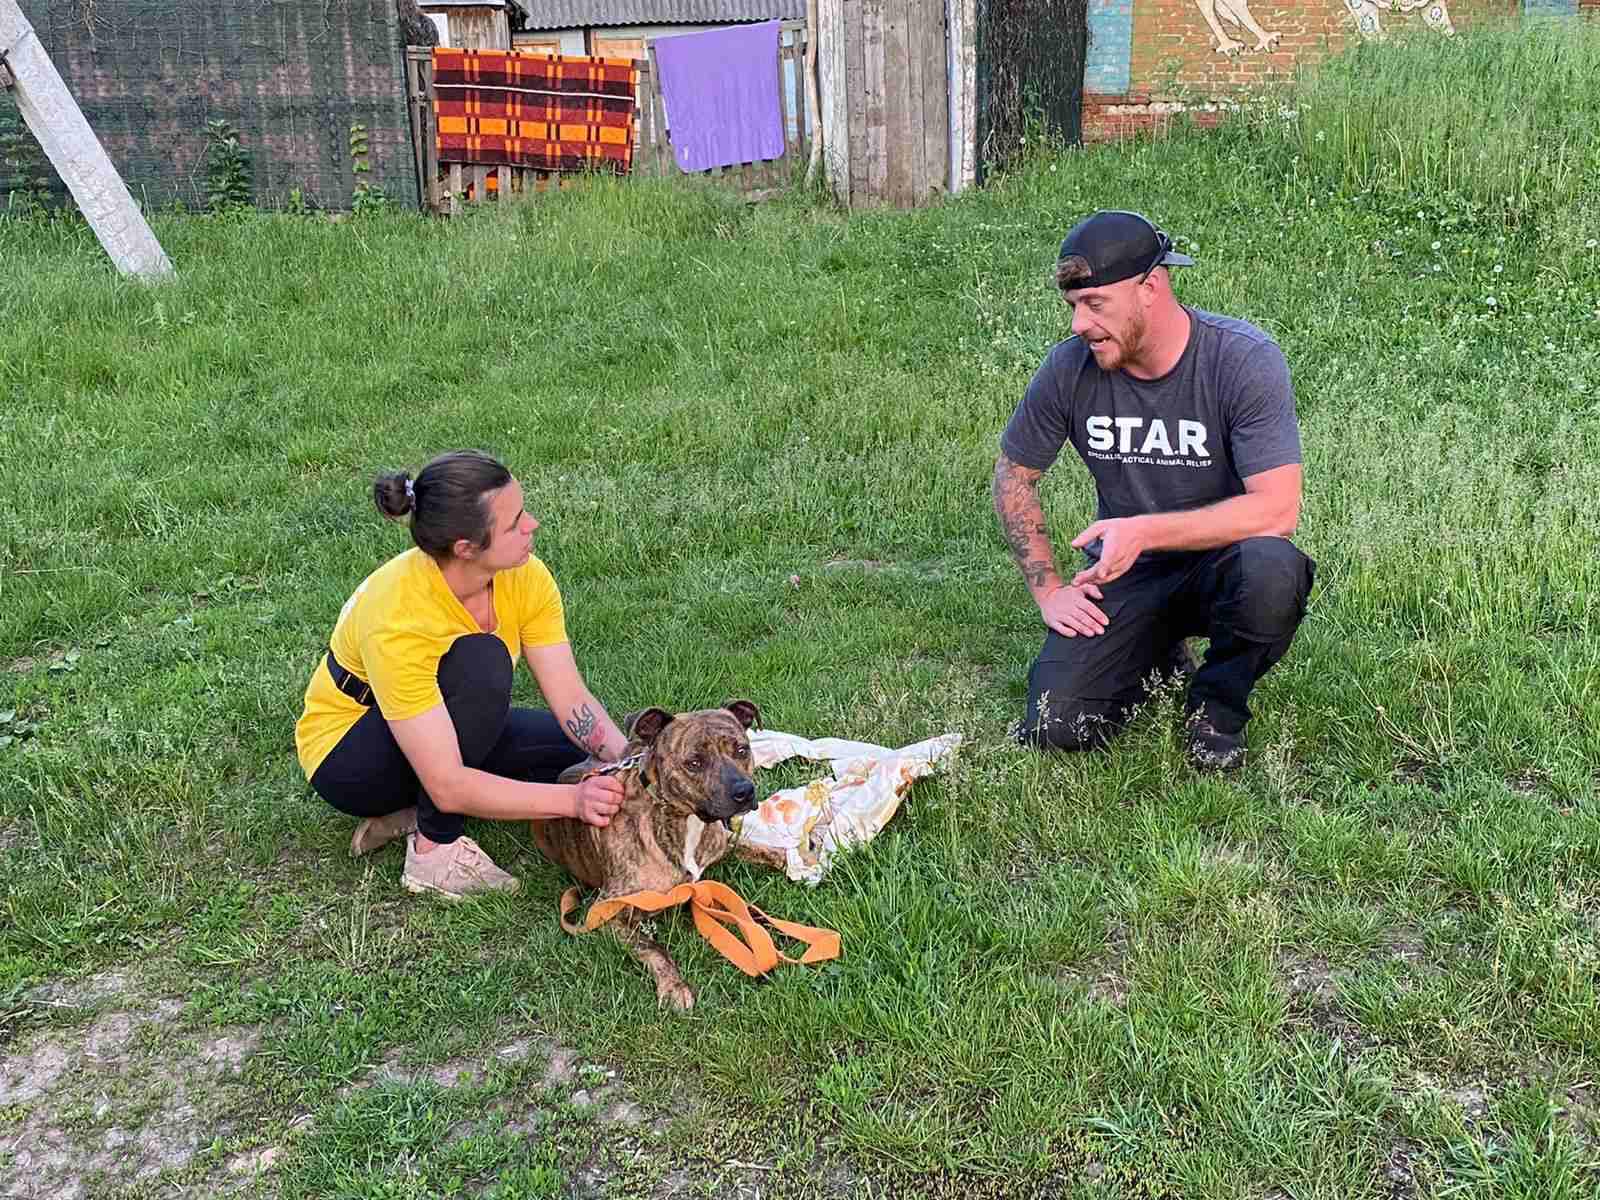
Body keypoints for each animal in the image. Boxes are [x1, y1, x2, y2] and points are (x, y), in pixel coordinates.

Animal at [533, 700, 786, 1010]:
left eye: (741, 750)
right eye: (694, 763)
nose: (744, 791)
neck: (686, 820)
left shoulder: (720, 847)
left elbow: (754, 874)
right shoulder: (609, 911)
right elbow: (653, 948)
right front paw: (674, 986)